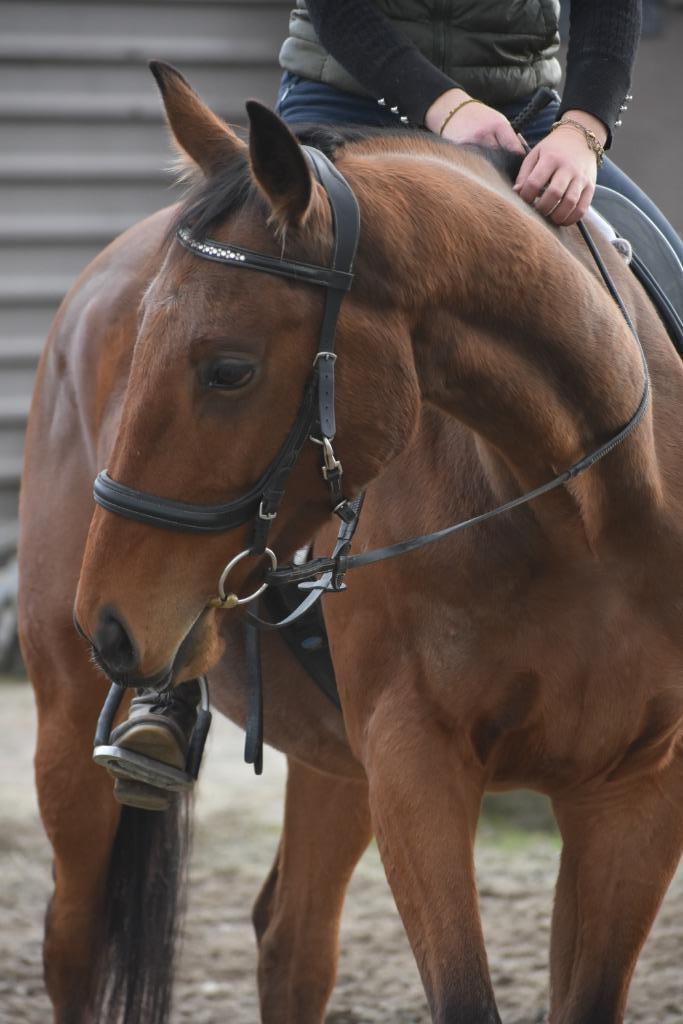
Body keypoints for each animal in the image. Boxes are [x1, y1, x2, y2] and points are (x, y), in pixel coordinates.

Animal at [18, 62, 683, 1024]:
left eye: (230, 370)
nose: (108, 624)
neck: (585, 509)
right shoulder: (415, 766)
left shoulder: (636, 792)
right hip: (71, 718)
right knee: (74, 942)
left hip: (336, 764)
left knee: (292, 944)